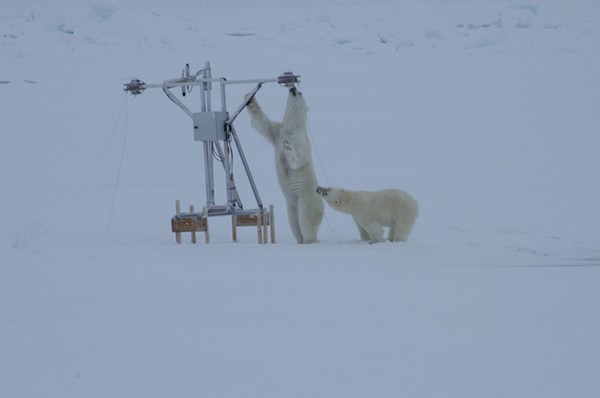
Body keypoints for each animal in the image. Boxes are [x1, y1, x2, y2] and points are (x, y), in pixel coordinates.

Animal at [246, 87, 324, 243]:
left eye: (300, 92)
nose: (293, 88)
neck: (292, 126)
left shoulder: (301, 139)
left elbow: (300, 157)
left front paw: (287, 147)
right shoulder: (277, 131)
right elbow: (262, 123)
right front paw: (249, 98)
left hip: (307, 201)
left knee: (306, 223)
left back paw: (310, 240)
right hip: (291, 207)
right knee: (294, 225)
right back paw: (300, 241)